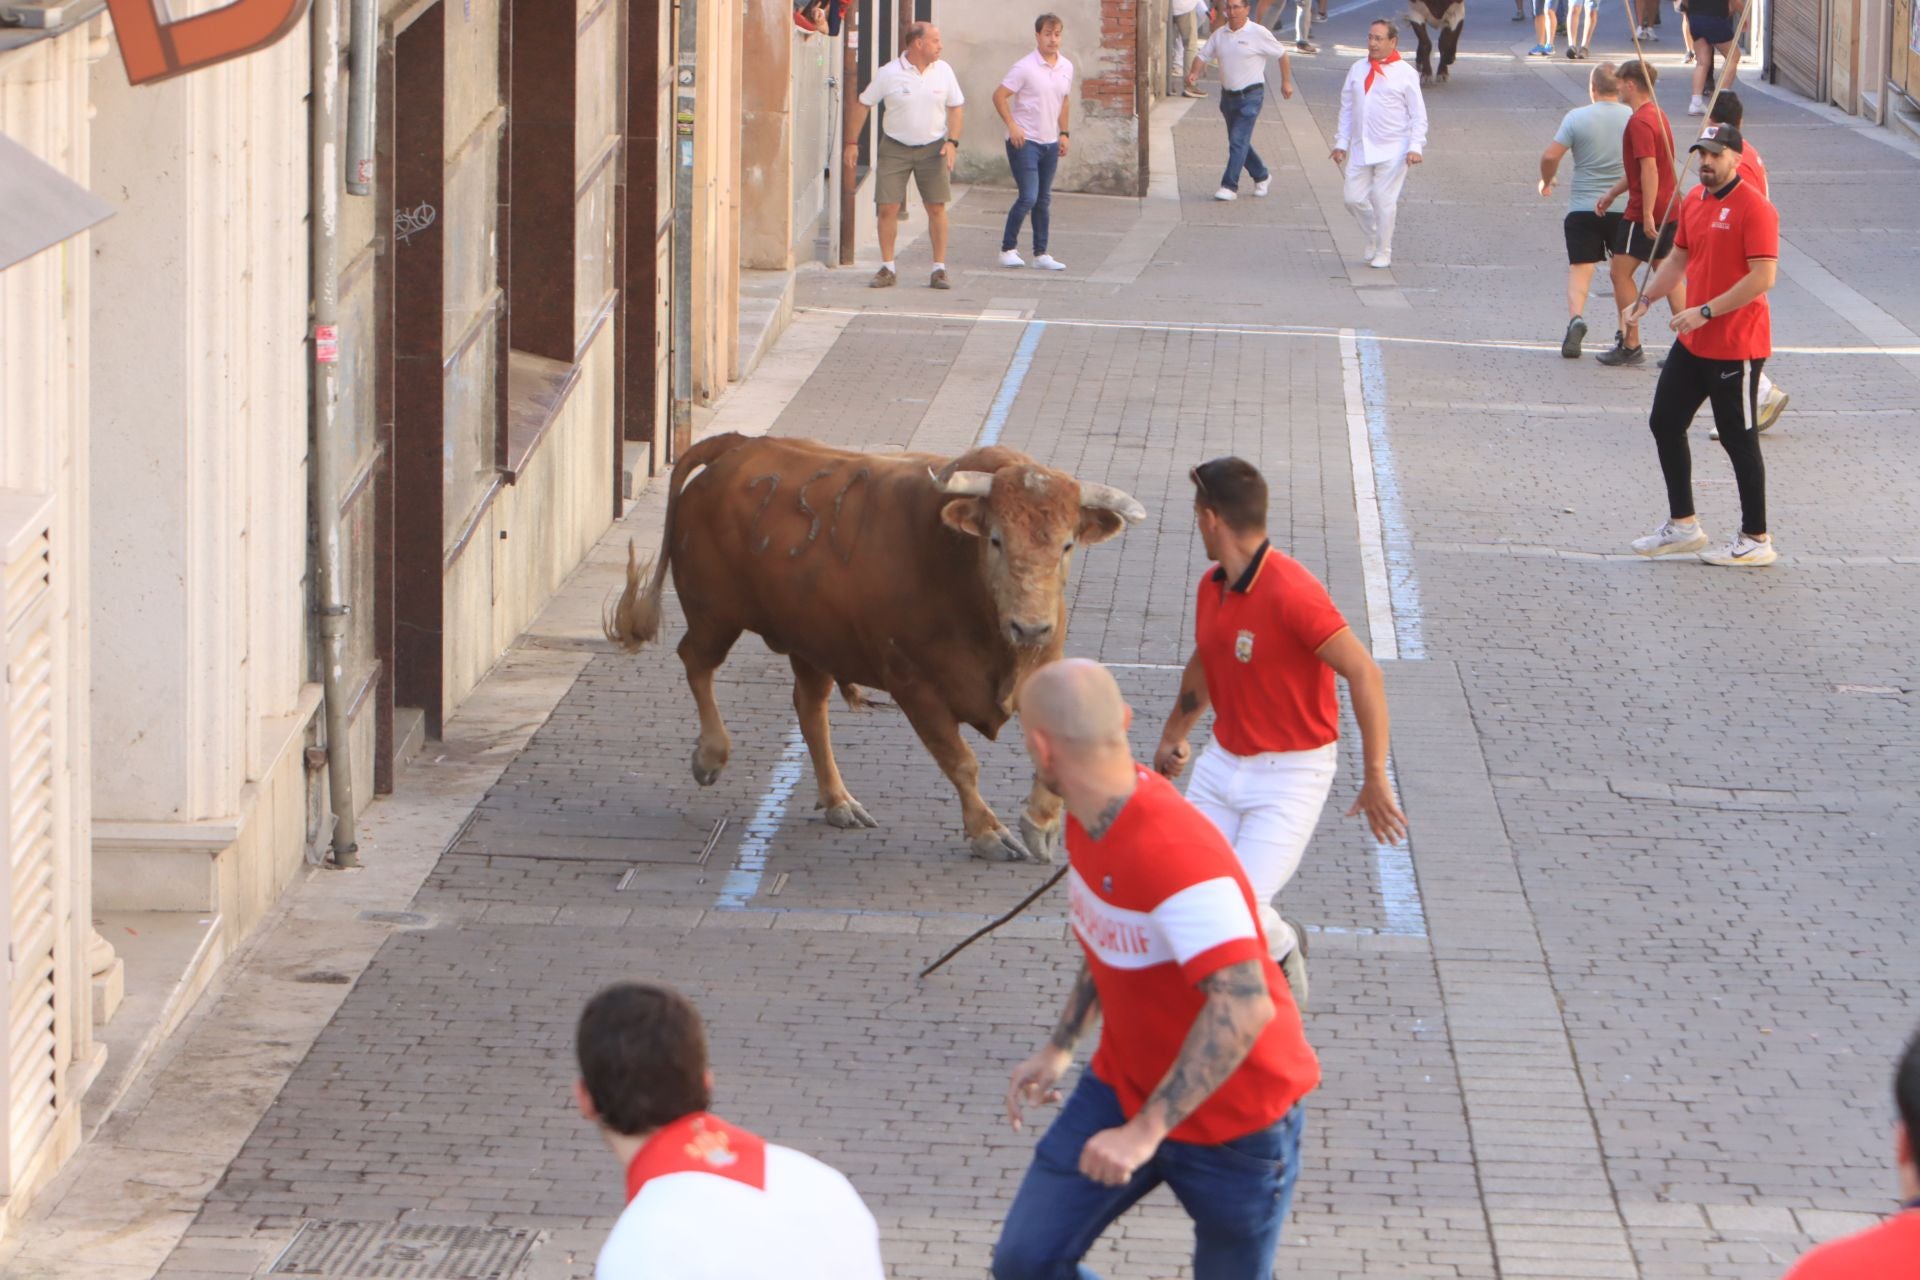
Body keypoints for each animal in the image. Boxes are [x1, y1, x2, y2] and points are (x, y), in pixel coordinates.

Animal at [602, 435, 1136, 867]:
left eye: (1067, 545)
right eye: (996, 539)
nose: (1030, 626)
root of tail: (738, 446)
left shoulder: (1039, 666)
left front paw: (1042, 825)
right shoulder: (913, 683)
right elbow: (960, 760)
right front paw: (989, 833)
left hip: (811, 638)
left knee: (809, 707)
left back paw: (838, 800)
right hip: (715, 616)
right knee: (696, 661)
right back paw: (711, 755)